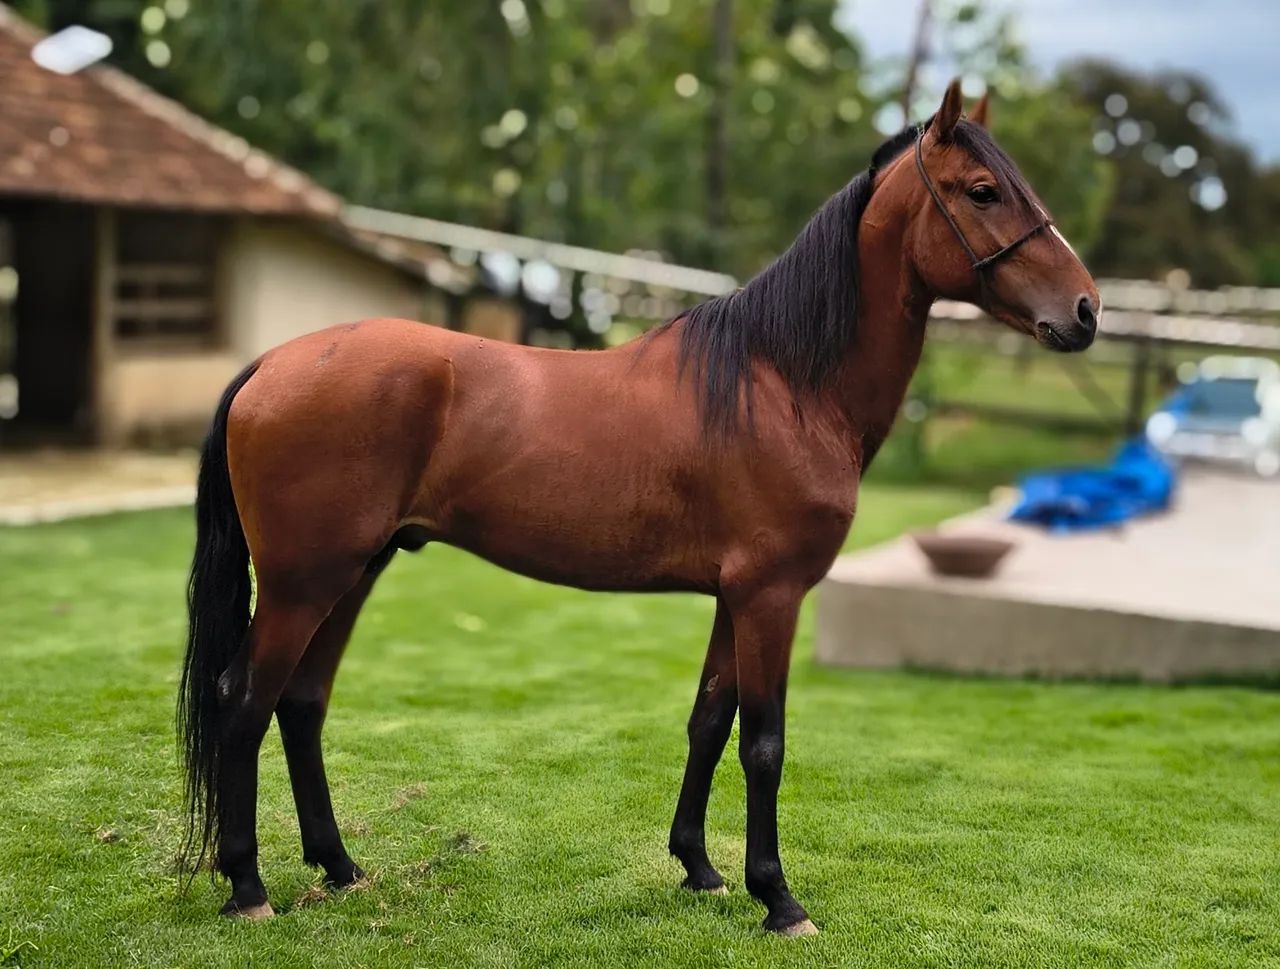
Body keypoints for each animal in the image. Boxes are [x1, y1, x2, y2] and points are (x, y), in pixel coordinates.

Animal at [179, 80, 1099, 935]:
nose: (1086, 310)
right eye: (984, 190)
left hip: (352, 572)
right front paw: (779, 897)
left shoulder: (737, 596)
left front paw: (701, 868)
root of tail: (270, 365)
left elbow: (710, 720)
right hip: (303, 583)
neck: (785, 383)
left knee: (301, 703)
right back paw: (249, 887)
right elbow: (764, 742)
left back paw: (340, 867)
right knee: (243, 701)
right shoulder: (771, 595)